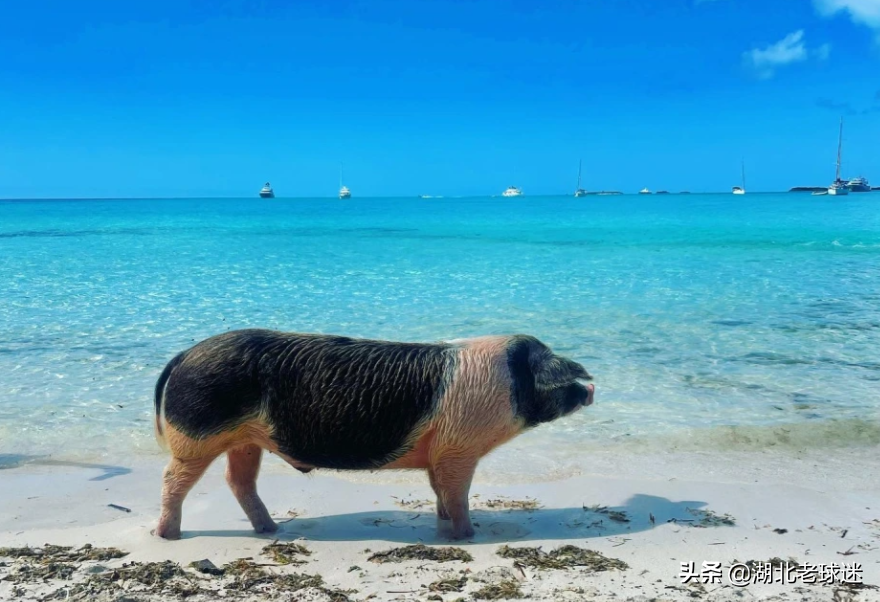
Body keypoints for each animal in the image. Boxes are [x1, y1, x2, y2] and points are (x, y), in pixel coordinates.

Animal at [155, 328, 596, 540]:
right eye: (560, 373)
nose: (593, 387)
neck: (507, 382)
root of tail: (184, 355)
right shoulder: (458, 446)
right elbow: (457, 493)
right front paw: (469, 536)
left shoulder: (439, 451)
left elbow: (440, 492)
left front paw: (444, 532)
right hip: (196, 436)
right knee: (173, 480)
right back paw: (168, 535)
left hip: (246, 441)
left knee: (238, 480)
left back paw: (271, 530)